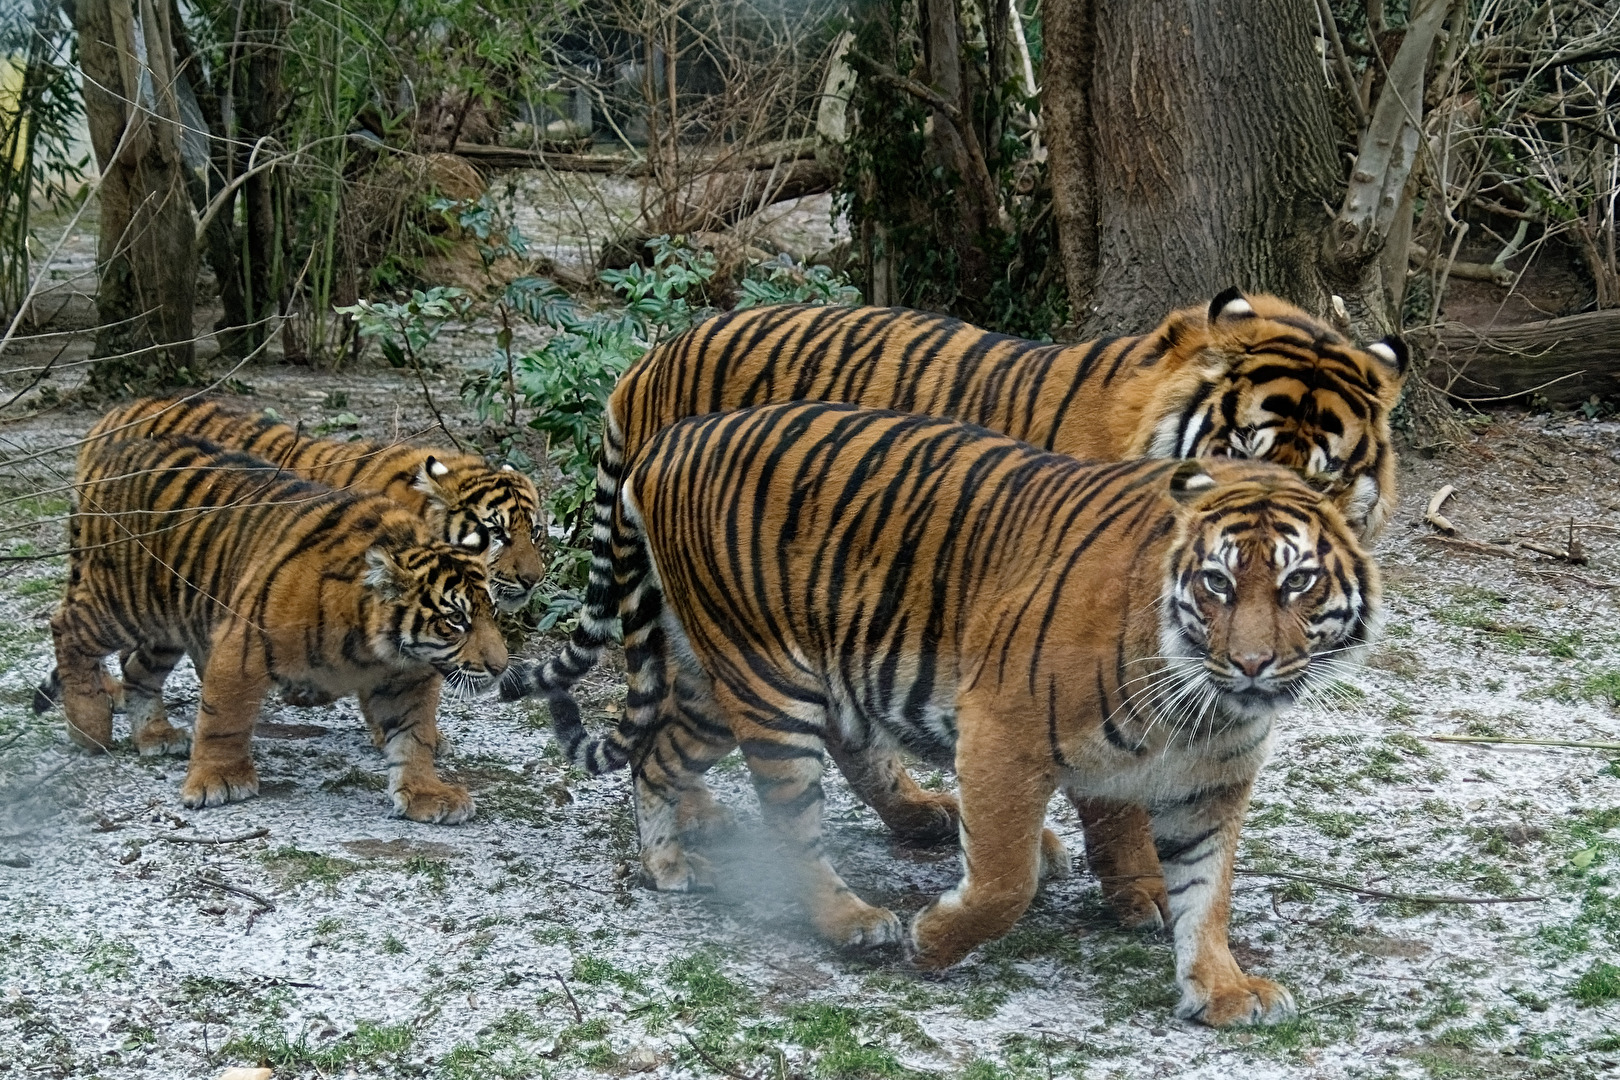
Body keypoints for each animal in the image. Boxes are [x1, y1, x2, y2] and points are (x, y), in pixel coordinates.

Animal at [50, 434, 508, 822]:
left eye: (492, 613)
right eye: (456, 619)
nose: (502, 667)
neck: (374, 647)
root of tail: (117, 448)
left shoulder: (406, 678)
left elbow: (414, 737)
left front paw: (426, 793)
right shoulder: (241, 648)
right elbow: (224, 719)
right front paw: (219, 781)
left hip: (167, 624)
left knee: (137, 669)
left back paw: (153, 735)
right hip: (125, 602)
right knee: (65, 626)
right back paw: (88, 726)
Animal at [502, 289, 1405, 928]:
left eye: (1326, 473)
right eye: (1242, 451)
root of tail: (645, 363)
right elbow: (1114, 794)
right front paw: (1142, 890)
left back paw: (927, 816)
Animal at [593, 402, 1379, 1027]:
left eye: (1298, 582)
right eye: (1216, 582)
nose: (1251, 664)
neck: (1203, 708)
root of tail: (669, 437)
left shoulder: (1211, 783)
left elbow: (1208, 895)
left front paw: (1220, 989)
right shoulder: (1004, 732)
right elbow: (1005, 880)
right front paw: (933, 940)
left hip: (713, 684)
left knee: (656, 754)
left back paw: (665, 864)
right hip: (770, 682)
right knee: (791, 823)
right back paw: (851, 921)